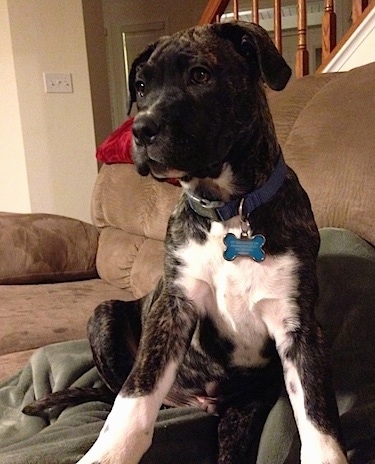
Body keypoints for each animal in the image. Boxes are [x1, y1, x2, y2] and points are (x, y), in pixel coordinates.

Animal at [25, 20, 350, 464]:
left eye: (200, 75)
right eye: (141, 86)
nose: (140, 130)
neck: (229, 213)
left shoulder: (297, 326)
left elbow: (317, 418)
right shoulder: (173, 308)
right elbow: (134, 398)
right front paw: (109, 452)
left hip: (245, 405)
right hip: (103, 314)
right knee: (116, 390)